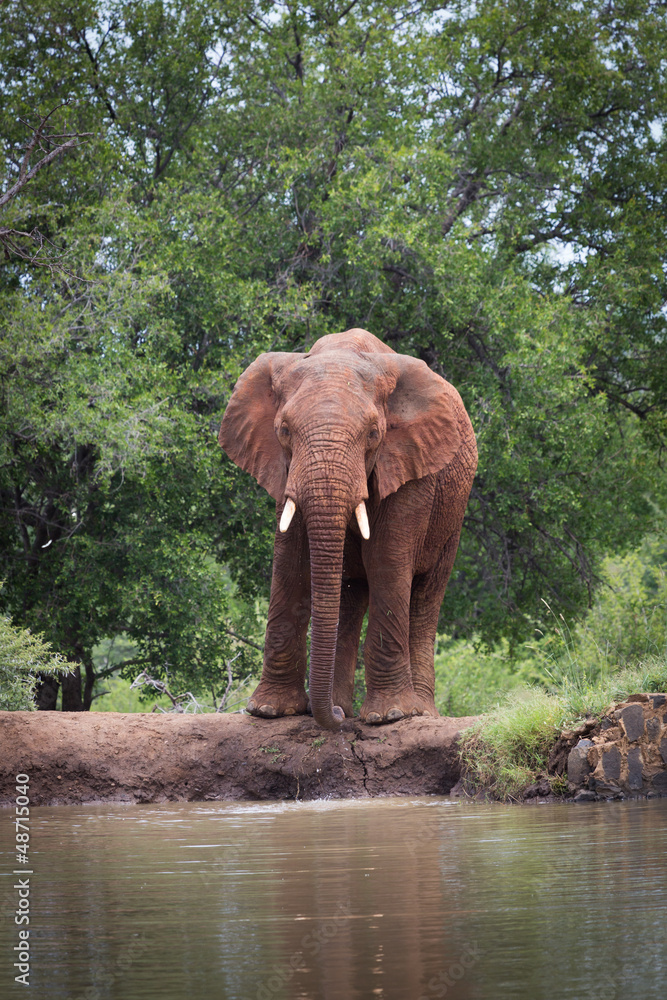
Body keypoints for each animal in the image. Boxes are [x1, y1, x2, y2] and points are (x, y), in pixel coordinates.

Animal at [219, 328, 477, 730]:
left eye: (373, 434)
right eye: (284, 430)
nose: (337, 718)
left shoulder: (409, 467)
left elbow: (387, 560)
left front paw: (390, 716)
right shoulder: (283, 470)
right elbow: (290, 563)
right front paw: (270, 711)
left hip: (452, 515)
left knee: (425, 596)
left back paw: (419, 712)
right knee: (350, 597)